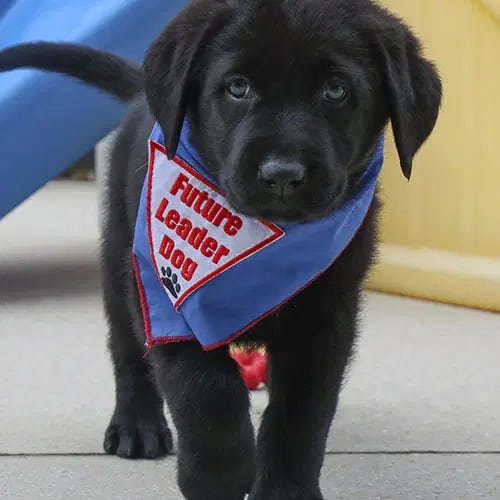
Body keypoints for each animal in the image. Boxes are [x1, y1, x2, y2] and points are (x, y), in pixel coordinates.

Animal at [0, 0, 442, 500]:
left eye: (336, 90)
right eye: (237, 87)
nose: (282, 174)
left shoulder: (326, 318)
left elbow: (301, 414)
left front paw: (285, 490)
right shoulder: (173, 297)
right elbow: (206, 392)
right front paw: (218, 476)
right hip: (120, 259)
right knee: (126, 347)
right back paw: (137, 425)